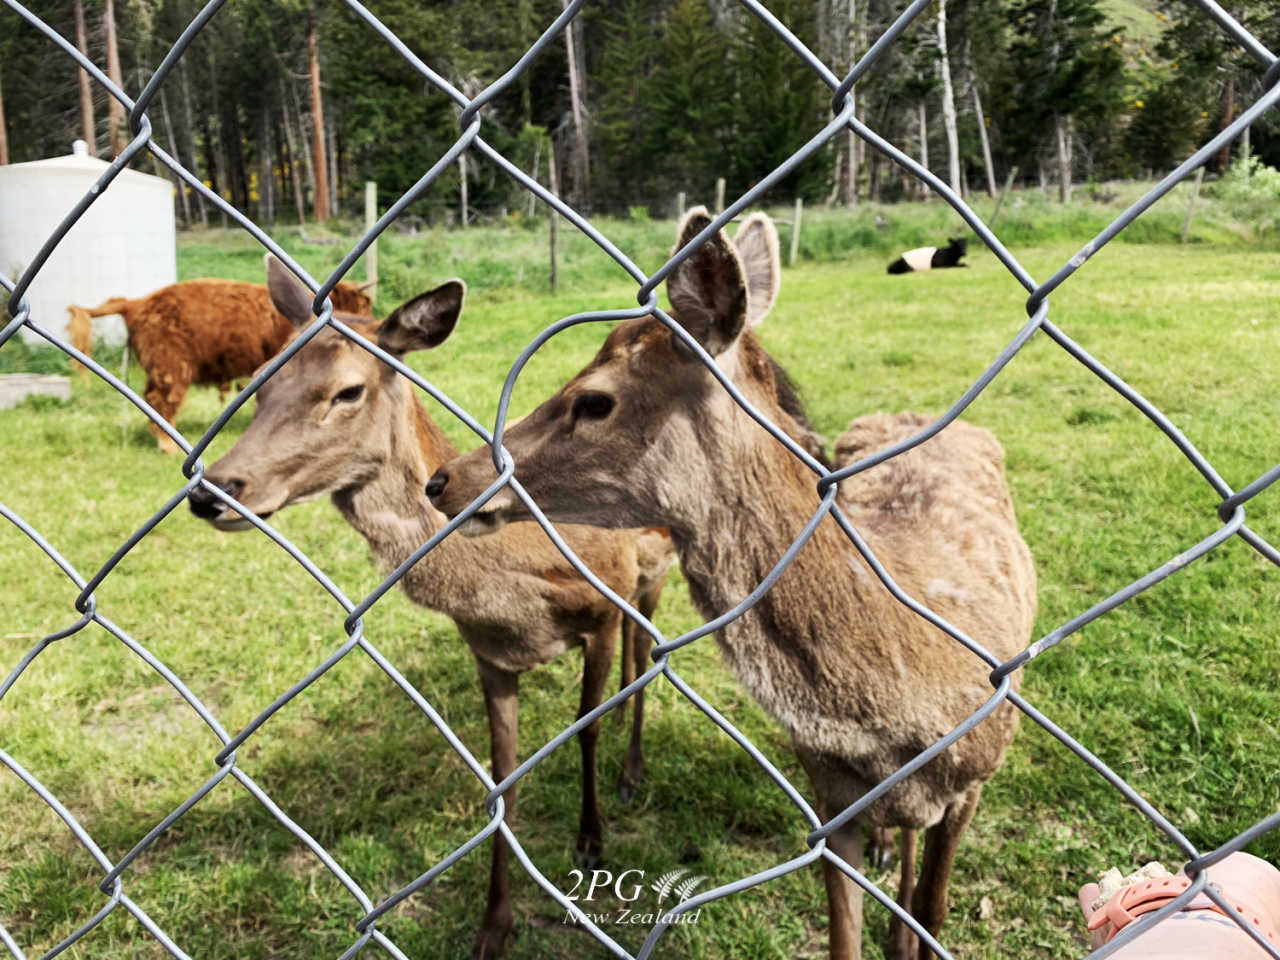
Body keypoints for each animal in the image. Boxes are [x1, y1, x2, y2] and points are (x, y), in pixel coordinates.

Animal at [186, 257, 680, 960]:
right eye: (259, 384)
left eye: (348, 392)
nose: (213, 492)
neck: (516, 587)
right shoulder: (489, 653)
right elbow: (504, 777)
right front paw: (494, 925)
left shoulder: (604, 605)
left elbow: (583, 729)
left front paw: (592, 840)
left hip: (654, 572)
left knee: (646, 650)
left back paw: (633, 769)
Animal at [424, 212, 1034, 960]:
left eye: (594, 399)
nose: (446, 479)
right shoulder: (830, 794)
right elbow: (844, 939)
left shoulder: (980, 770)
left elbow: (936, 910)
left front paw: (910, 925)